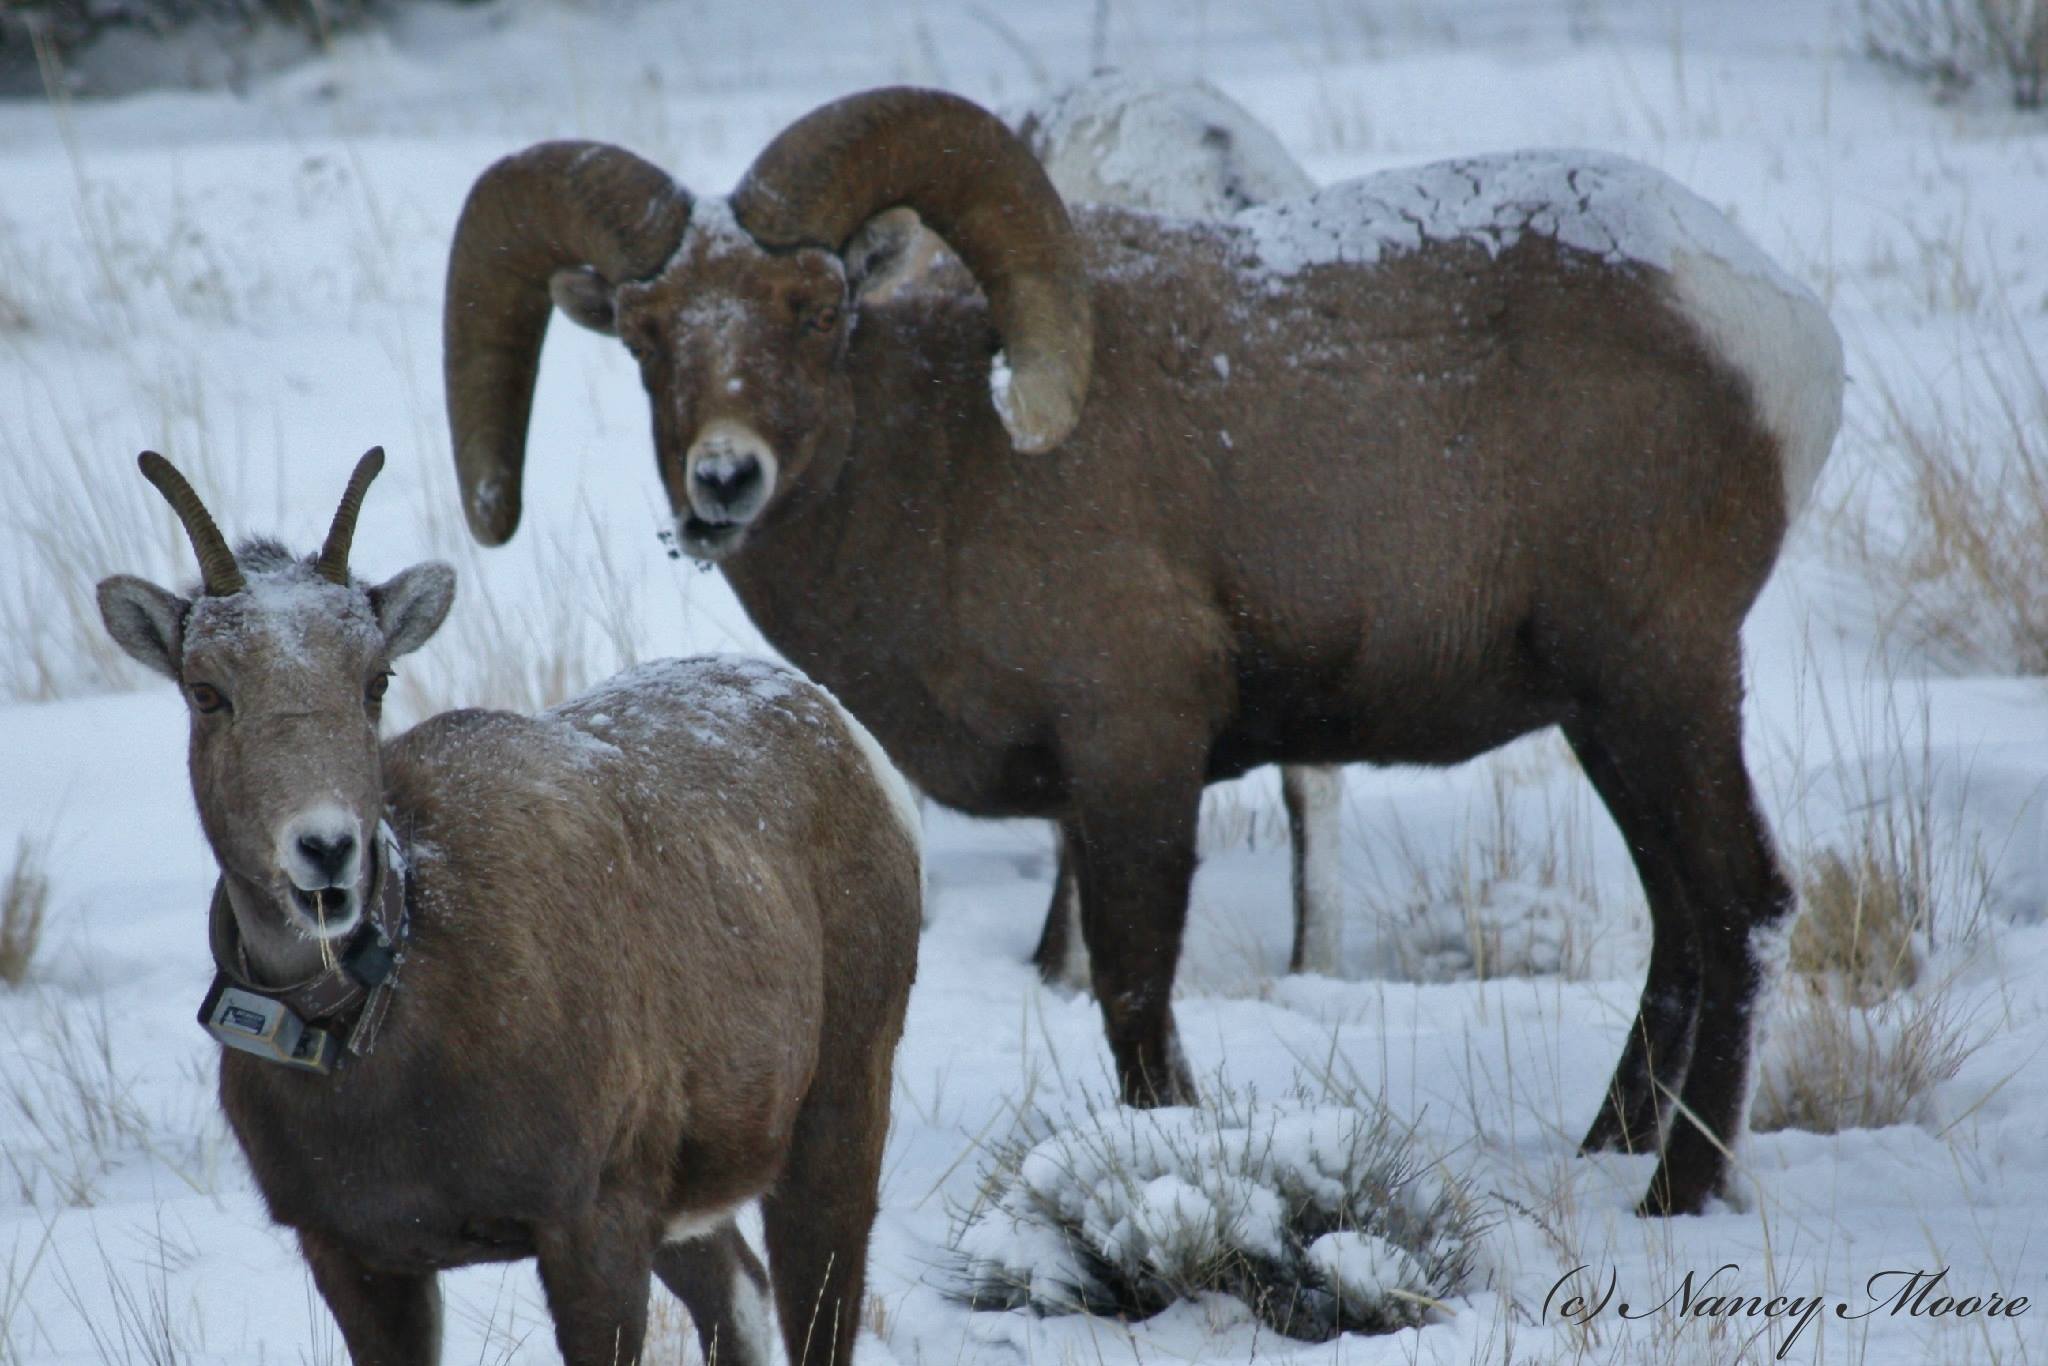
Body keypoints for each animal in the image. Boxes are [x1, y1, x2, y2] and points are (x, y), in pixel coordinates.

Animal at [94, 448, 921, 1366]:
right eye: (206, 691)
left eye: (375, 680)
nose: (325, 851)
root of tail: (845, 735)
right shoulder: (354, 1257)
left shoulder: (591, 1223)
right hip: (690, 1205)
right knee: (737, 1293)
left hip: (835, 1120)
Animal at [440, 86, 1845, 1215]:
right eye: (645, 334)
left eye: (813, 308)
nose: (722, 483)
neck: (944, 465)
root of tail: (1770, 328)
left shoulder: (1136, 760)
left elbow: (1130, 999)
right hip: (1606, 713)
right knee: (1678, 922)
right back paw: (1607, 1147)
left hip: (1659, 681)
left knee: (1738, 905)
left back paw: (1671, 1197)